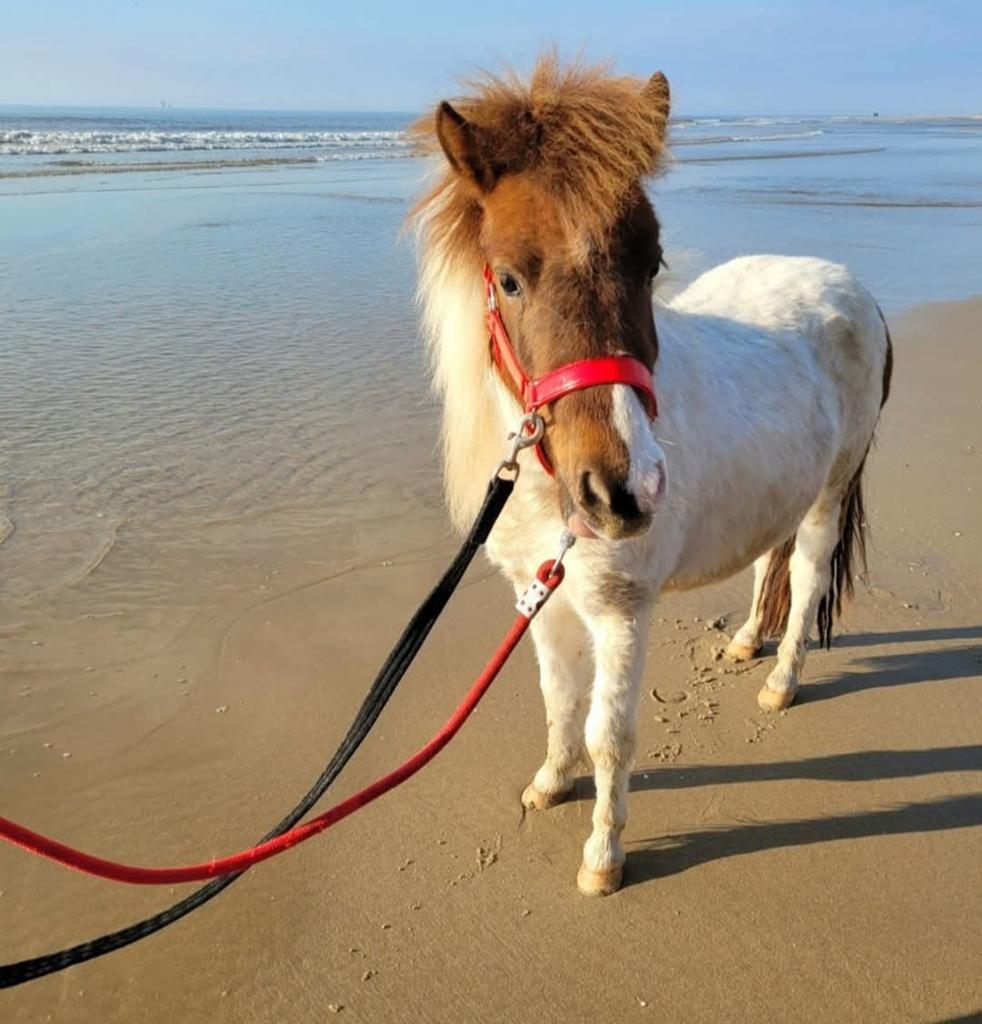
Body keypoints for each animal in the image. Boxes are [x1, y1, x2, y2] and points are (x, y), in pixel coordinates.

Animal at [409, 57, 892, 896]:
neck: (549, 497)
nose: (623, 492)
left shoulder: (622, 614)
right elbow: (558, 698)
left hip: (830, 494)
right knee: (771, 559)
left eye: (652, 262)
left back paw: (781, 680)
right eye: (508, 279)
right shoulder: (539, 596)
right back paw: (746, 642)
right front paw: (551, 781)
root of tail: (853, 286)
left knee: (806, 575)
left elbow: (610, 734)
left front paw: (603, 856)